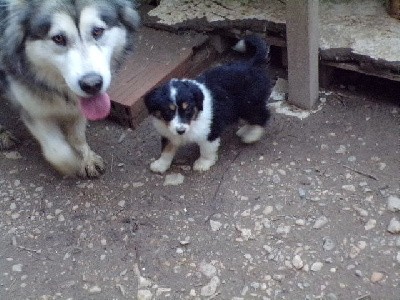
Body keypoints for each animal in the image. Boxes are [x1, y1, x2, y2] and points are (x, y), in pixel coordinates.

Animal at [0, 0, 141, 177]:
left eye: (97, 31)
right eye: (58, 38)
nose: (92, 84)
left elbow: (78, 135)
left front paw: (87, 158)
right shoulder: (32, 108)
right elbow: (57, 151)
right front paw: (73, 163)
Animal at [144, 35, 272, 173]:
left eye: (187, 109)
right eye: (168, 111)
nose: (181, 131)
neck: (193, 120)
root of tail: (251, 63)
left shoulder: (210, 131)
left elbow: (206, 150)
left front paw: (203, 163)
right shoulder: (168, 132)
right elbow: (166, 149)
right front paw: (160, 165)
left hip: (249, 104)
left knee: (262, 115)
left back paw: (252, 135)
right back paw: (245, 130)